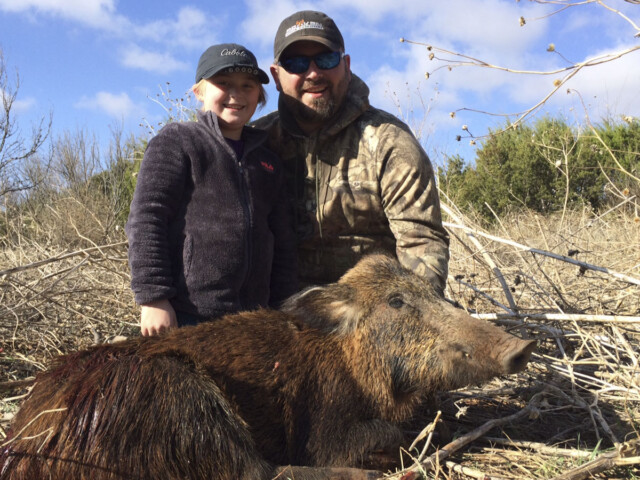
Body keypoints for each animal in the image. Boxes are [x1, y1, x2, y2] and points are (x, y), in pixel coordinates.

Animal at [0, 254, 535, 480]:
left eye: (433, 293)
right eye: (397, 301)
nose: (524, 345)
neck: (350, 362)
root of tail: (21, 451)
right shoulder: (325, 426)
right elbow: (370, 439)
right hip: (178, 393)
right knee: (256, 473)